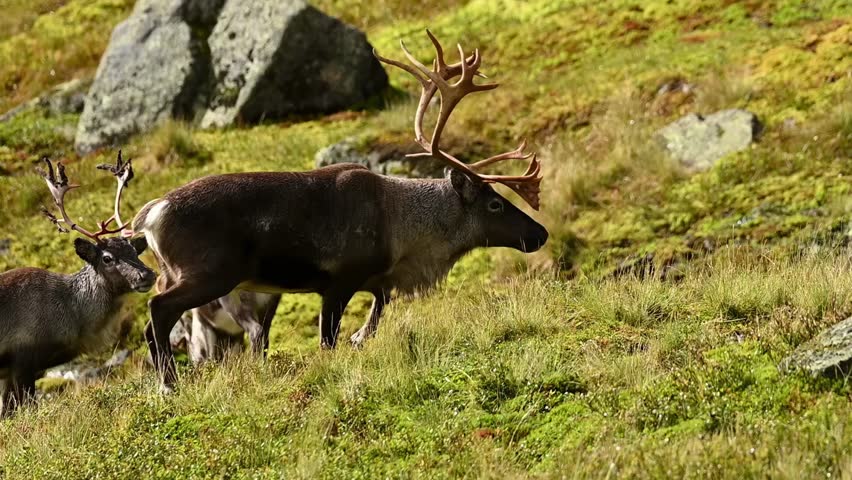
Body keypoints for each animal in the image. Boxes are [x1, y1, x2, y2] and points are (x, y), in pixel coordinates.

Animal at [131, 30, 548, 391]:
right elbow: (328, 339)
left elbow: (380, 304)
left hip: (171, 273)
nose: (540, 234)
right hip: (210, 273)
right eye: (495, 203)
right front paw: (350, 342)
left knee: (155, 320)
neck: (403, 229)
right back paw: (168, 385)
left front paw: (360, 335)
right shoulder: (339, 279)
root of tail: (151, 213)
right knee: (158, 310)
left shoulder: (374, 277)